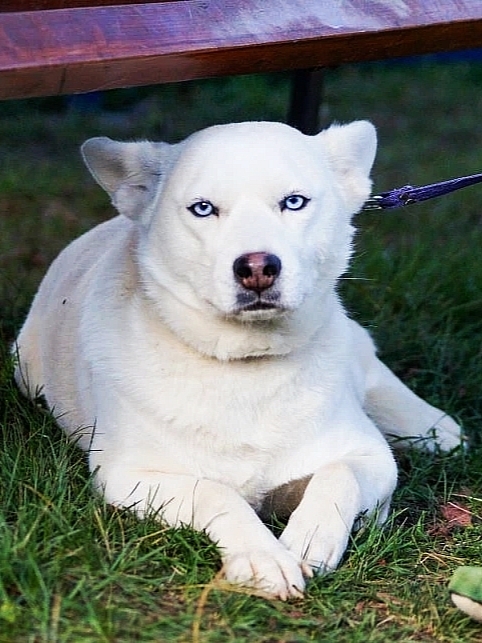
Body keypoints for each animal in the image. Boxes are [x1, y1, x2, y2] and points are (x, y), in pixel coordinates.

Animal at [14, 120, 461, 599]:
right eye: (203, 209)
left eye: (294, 202)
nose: (258, 267)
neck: (249, 364)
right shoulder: (129, 476)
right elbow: (215, 493)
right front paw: (262, 555)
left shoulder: (371, 457)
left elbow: (337, 475)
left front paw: (310, 538)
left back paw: (434, 427)